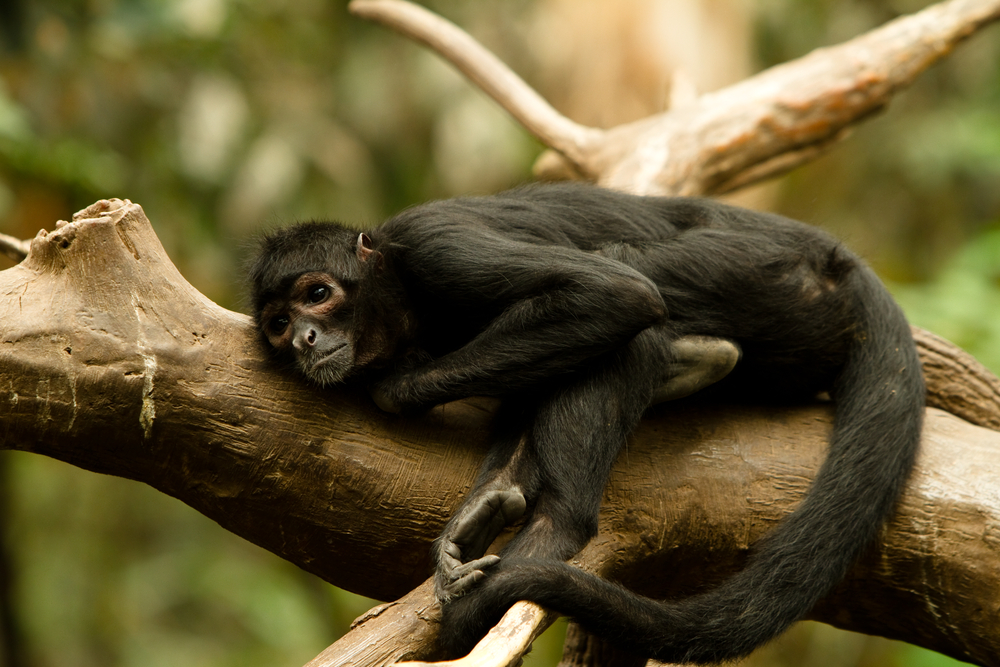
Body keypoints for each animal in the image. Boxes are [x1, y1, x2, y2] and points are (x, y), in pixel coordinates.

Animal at [248, 184, 920, 667]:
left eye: (317, 294)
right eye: (278, 323)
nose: (304, 339)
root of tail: (837, 259)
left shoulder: (435, 246)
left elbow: (614, 293)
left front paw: (396, 387)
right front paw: (485, 506)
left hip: (767, 275)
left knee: (625, 276)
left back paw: (554, 529)